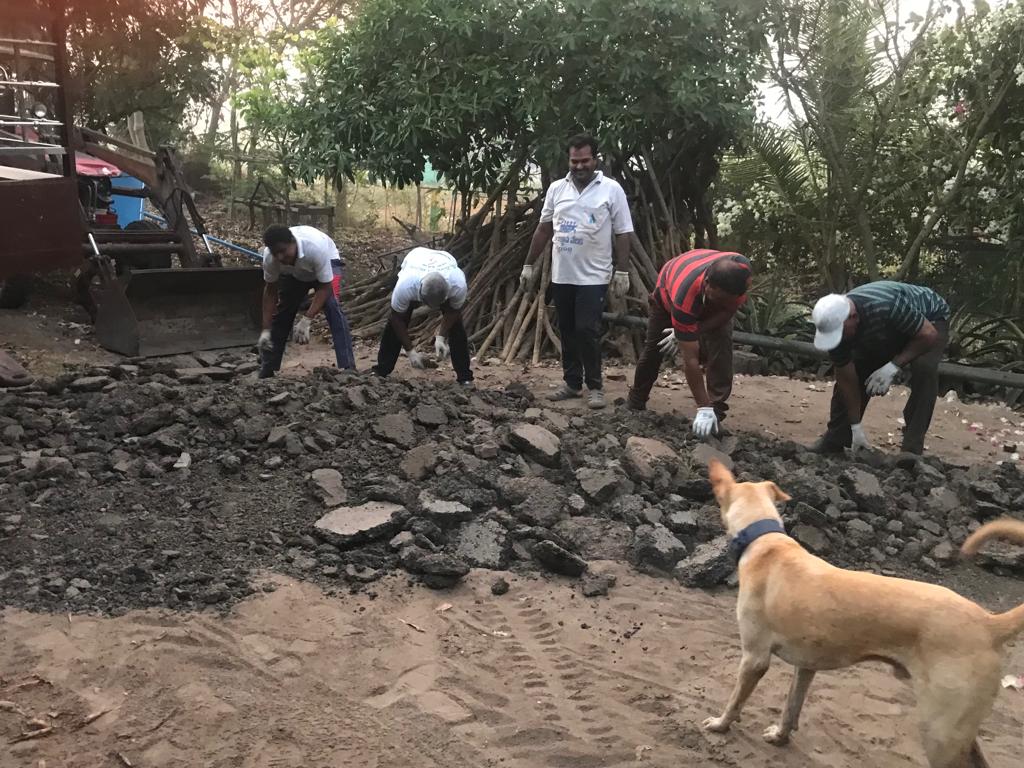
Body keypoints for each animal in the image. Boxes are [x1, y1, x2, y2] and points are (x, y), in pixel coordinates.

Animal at [703, 460, 1024, 768]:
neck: (765, 542)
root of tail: (989, 622)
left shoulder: (754, 658)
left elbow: (735, 702)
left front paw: (720, 724)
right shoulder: (806, 666)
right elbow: (791, 707)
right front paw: (781, 737)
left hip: (940, 731)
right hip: (958, 729)